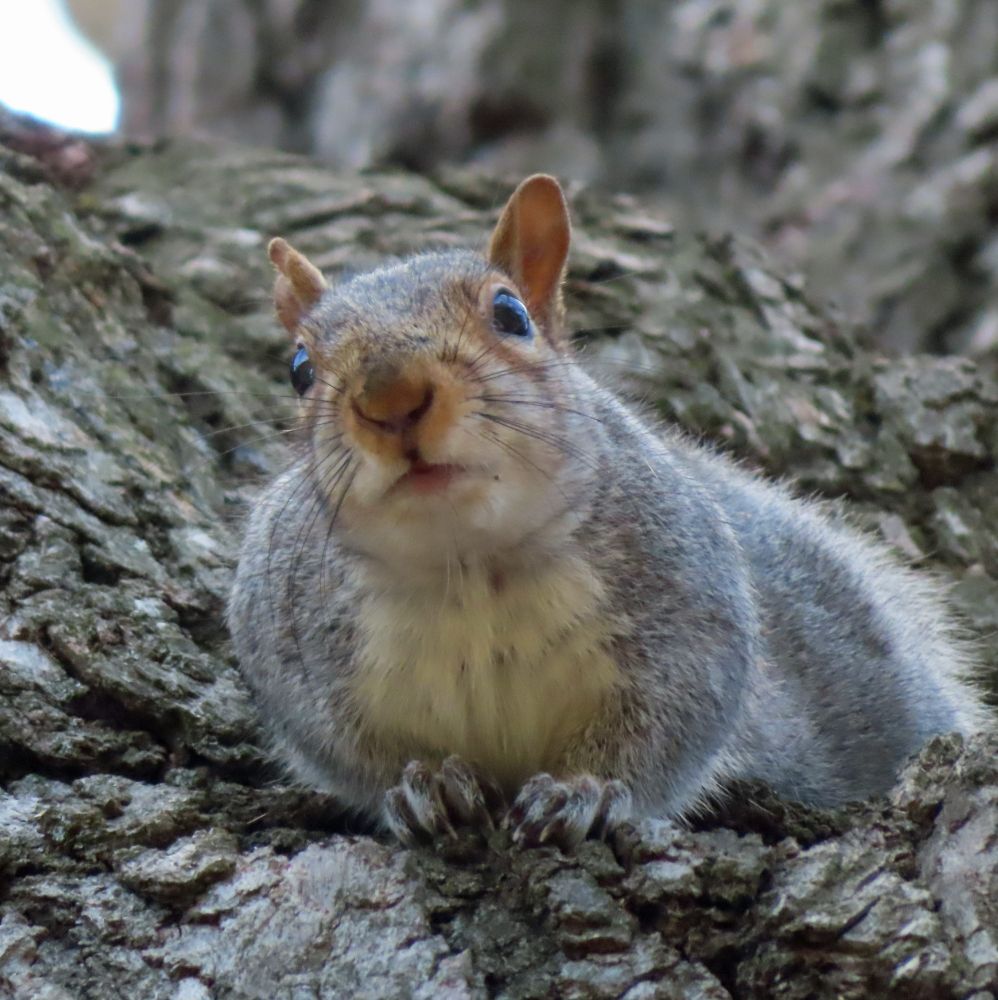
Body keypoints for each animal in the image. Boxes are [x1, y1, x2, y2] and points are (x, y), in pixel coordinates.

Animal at [227, 174, 987, 848]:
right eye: (299, 368)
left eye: (511, 315)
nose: (390, 397)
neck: (467, 561)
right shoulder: (302, 666)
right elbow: (352, 753)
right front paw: (424, 783)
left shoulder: (689, 614)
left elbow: (664, 733)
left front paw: (581, 791)